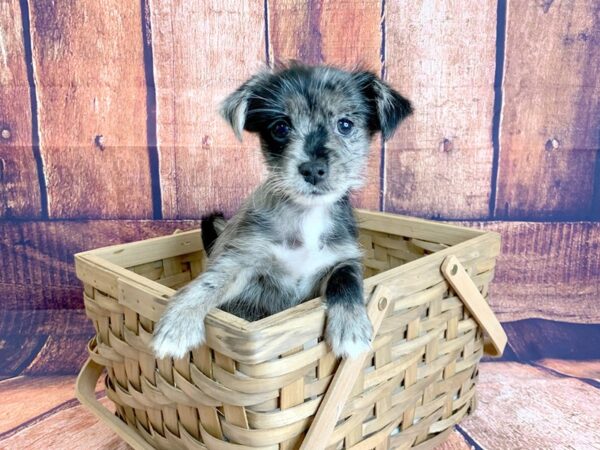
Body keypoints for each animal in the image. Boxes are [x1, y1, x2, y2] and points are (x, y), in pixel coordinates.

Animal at [151, 62, 412, 358]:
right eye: (281, 127)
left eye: (345, 125)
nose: (313, 169)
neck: (307, 215)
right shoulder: (244, 259)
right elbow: (211, 281)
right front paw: (178, 322)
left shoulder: (343, 258)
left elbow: (346, 280)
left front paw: (351, 326)